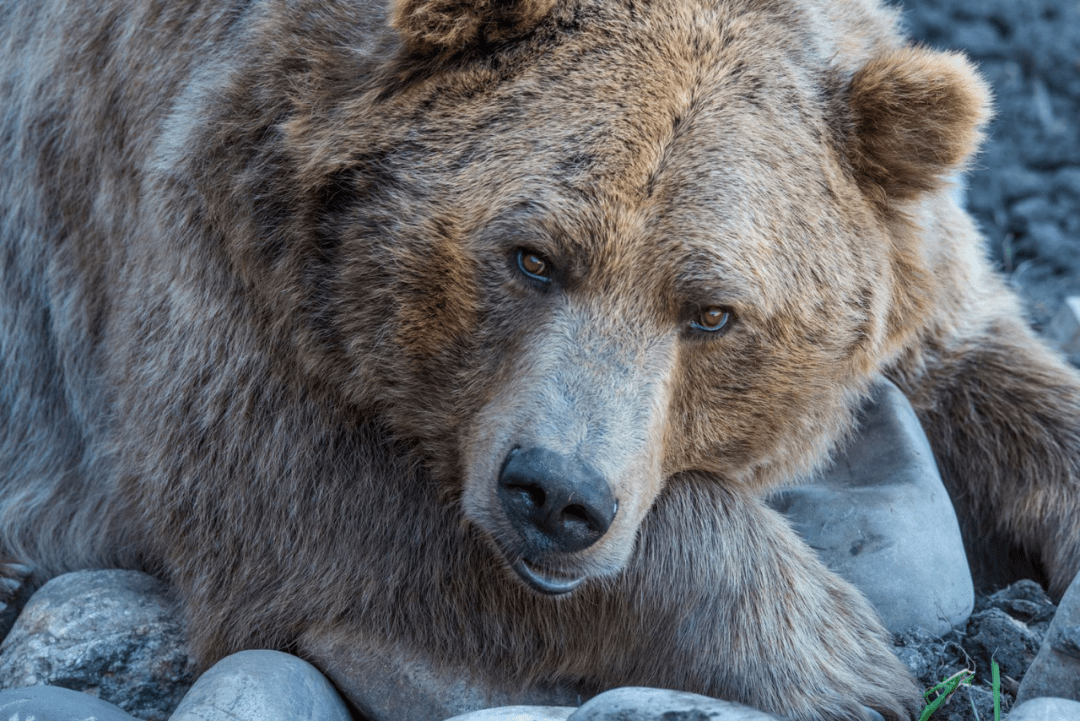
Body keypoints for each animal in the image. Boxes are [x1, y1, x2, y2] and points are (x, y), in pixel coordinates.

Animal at [0, 0, 1075, 716]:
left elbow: (985, 368)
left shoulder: (917, 272)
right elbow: (293, 497)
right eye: (531, 255)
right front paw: (840, 658)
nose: (558, 496)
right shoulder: (201, 217)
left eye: (713, 312)